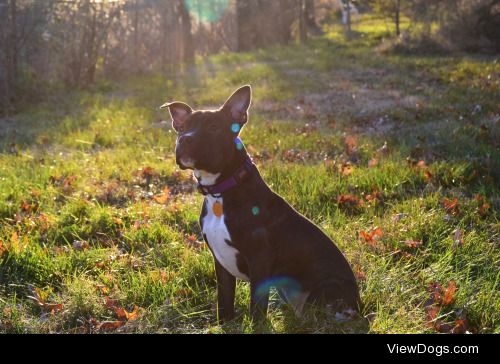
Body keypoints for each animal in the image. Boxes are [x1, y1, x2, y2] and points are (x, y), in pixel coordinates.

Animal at [160, 86, 360, 322]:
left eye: (213, 127)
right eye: (182, 129)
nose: (185, 139)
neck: (221, 192)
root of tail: (357, 304)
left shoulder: (259, 260)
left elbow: (256, 305)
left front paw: (256, 325)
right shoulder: (221, 263)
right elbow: (224, 298)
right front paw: (223, 323)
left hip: (325, 289)